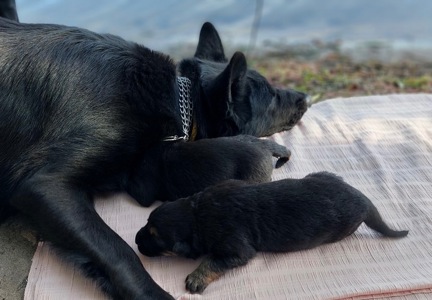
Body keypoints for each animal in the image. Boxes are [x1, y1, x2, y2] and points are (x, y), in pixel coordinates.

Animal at [137, 172, 410, 294]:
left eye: (154, 235)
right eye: (147, 223)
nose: (136, 240)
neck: (196, 214)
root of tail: (363, 199)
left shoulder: (236, 249)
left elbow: (213, 261)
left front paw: (196, 278)